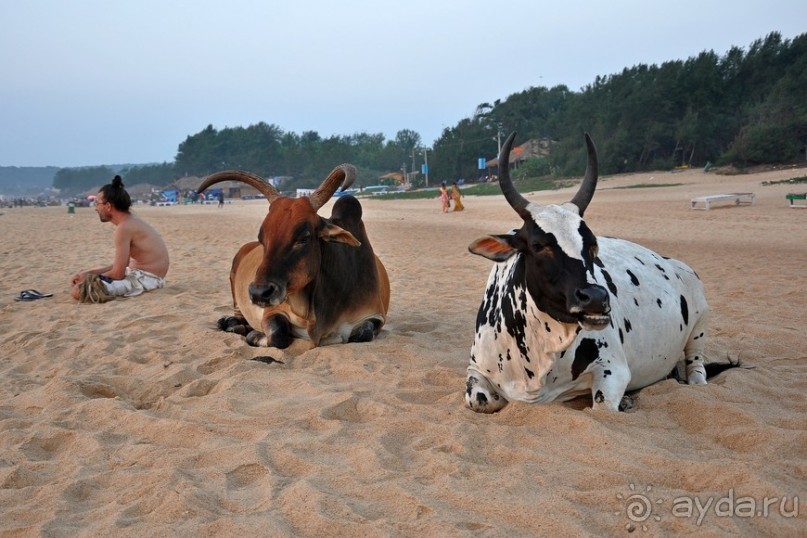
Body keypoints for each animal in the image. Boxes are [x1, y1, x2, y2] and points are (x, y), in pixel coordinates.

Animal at [200, 164, 392, 348]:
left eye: (304, 238)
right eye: (262, 238)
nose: (259, 293)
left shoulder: (374, 315)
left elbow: (363, 334)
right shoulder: (272, 311)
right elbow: (278, 336)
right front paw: (255, 335)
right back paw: (231, 323)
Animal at [468, 133, 724, 410]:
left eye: (593, 244)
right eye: (538, 245)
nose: (596, 298)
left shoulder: (613, 370)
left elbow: (602, 406)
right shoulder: (476, 370)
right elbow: (478, 400)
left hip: (700, 326)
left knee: (696, 370)